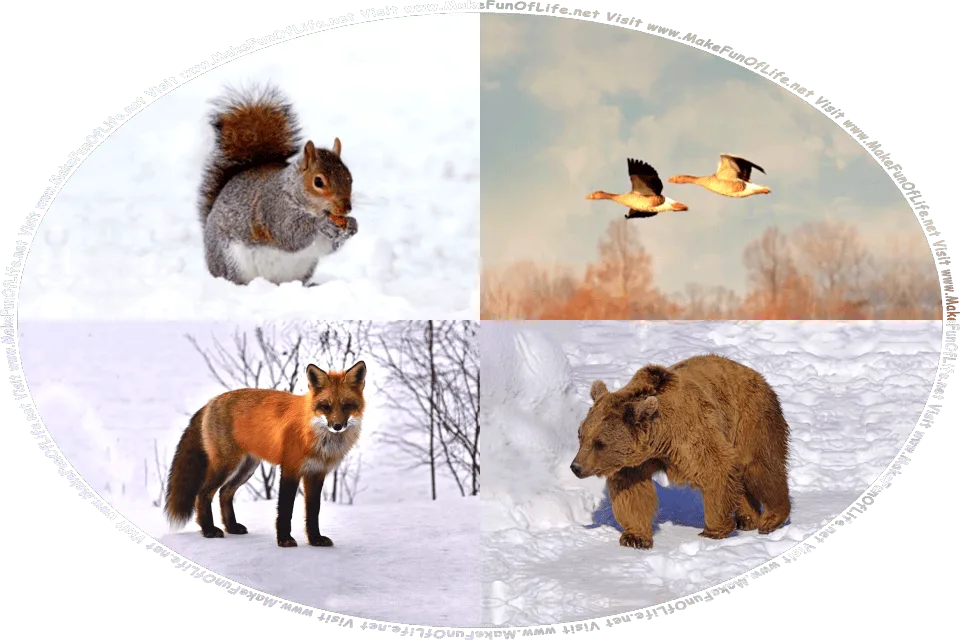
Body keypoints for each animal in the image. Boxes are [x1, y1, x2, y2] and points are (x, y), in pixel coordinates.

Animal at [164, 360, 366, 548]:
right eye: (326, 407)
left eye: (347, 406)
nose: (337, 426)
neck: (316, 436)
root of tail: (211, 401)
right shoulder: (290, 468)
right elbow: (285, 509)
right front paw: (284, 540)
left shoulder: (316, 473)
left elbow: (313, 511)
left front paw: (315, 539)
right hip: (226, 465)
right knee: (203, 494)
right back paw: (208, 530)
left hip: (246, 468)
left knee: (224, 492)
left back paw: (232, 527)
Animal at [198, 85, 358, 286]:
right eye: (318, 182)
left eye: (350, 178)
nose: (347, 209)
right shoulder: (273, 209)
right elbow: (289, 235)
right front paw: (321, 224)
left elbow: (328, 246)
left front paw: (352, 225)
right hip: (231, 260)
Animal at [570, 354, 791, 550]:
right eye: (581, 436)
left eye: (599, 443)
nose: (576, 467)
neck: (659, 439)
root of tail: (753, 373)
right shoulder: (635, 462)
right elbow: (632, 492)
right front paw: (635, 538)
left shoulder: (690, 435)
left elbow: (716, 468)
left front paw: (713, 530)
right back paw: (746, 519)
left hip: (750, 419)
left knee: (760, 467)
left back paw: (771, 518)